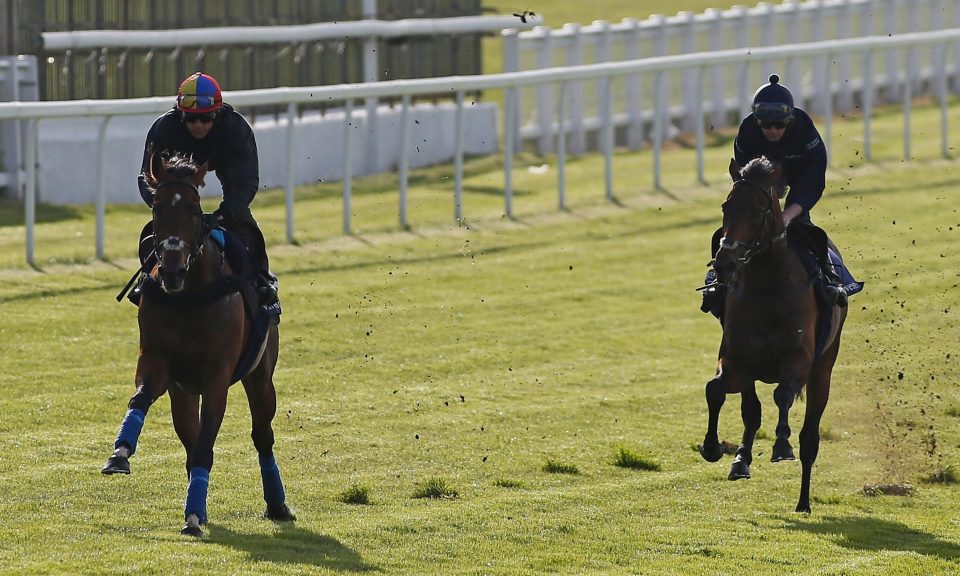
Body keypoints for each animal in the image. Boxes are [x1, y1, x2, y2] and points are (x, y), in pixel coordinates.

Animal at [101, 153, 294, 536]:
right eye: (157, 208)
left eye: (193, 209)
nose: (172, 270)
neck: (189, 294)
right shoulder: (159, 362)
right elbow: (141, 398)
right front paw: (120, 453)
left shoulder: (217, 377)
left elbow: (208, 442)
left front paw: (193, 515)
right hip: (184, 392)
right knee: (189, 436)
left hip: (261, 377)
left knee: (262, 434)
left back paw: (276, 503)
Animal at [696, 155, 848, 510]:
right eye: (726, 206)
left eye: (760, 209)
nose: (724, 263)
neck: (766, 286)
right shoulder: (737, 363)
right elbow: (715, 390)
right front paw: (713, 448)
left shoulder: (800, 362)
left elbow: (782, 395)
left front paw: (781, 445)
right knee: (751, 412)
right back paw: (741, 461)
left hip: (823, 370)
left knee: (809, 438)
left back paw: (803, 501)